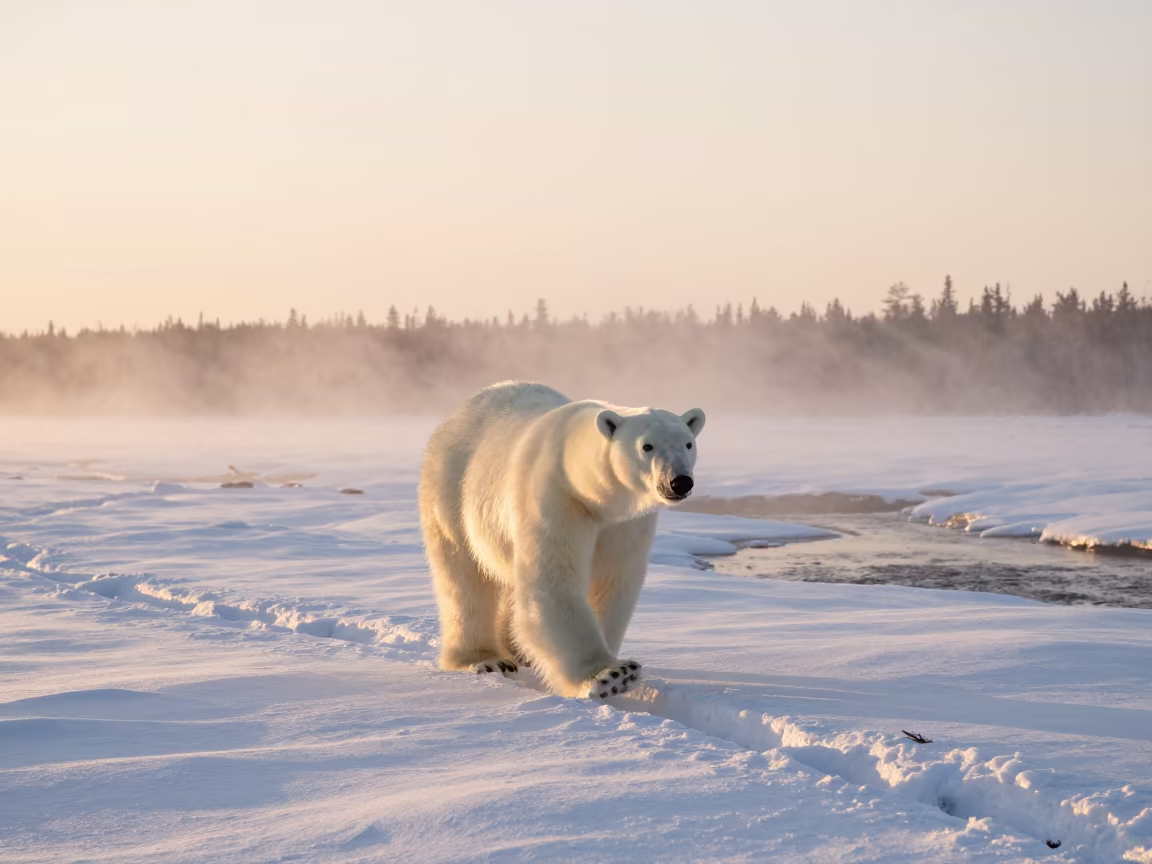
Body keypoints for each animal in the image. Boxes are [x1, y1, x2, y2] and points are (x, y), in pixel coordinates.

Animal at [419, 381, 705, 699]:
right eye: (647, 446)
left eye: (687, 443)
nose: (679, 482)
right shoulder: (557, 499)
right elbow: (553, 580)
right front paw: (611, 675)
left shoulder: (625, 523)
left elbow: (613, 582)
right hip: (451, 489)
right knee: (464, 578)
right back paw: (485, 659)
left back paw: (516, 652)